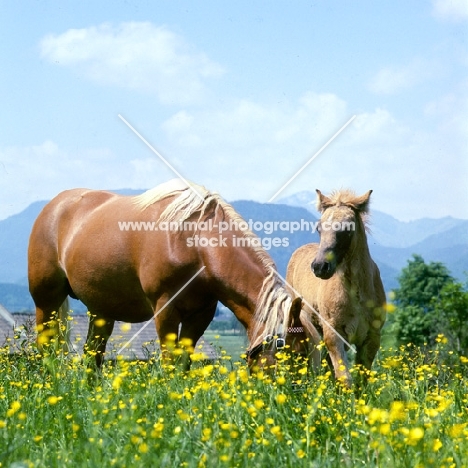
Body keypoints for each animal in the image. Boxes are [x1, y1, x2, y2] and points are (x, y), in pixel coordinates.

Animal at [27, 179, 316, 370]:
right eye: (293, 352)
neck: (195, 242)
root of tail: (54, 206)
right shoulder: (165, 310)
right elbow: (169, 364)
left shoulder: (201, 315)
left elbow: (183, 364)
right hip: (46, 301)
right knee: (45, 348)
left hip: (101, 310)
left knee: (93, 356)